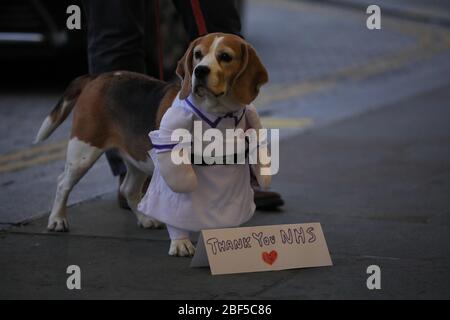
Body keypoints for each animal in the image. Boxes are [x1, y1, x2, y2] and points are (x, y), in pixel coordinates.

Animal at [36, 32, 268, 256]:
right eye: (198, 55)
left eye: (225, 57)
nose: (200, 71)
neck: (218, 114)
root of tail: (98, 77)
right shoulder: (174, 172)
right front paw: (181, 243)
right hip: (83, 151)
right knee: (63, 183)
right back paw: (57, 219)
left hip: (137, 158)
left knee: (128, 189)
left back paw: (144, 218)